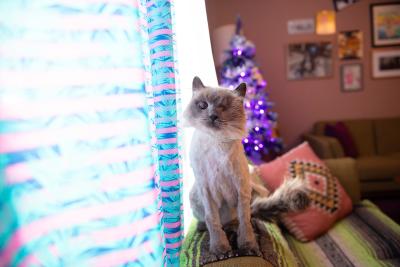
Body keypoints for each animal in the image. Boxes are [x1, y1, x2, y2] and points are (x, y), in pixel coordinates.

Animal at [184, 77, 310, 255]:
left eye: (224, 107)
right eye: (203, 105)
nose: (212, 116)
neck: (217, 141)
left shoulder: (240, 187)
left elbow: (245, 221)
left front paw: (247, 245)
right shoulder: (206, 189)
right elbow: (212, 220)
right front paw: (220, 248)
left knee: (241, 219)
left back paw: (232, 228)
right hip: (195, 195)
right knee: (211, 222)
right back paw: (204, 228)